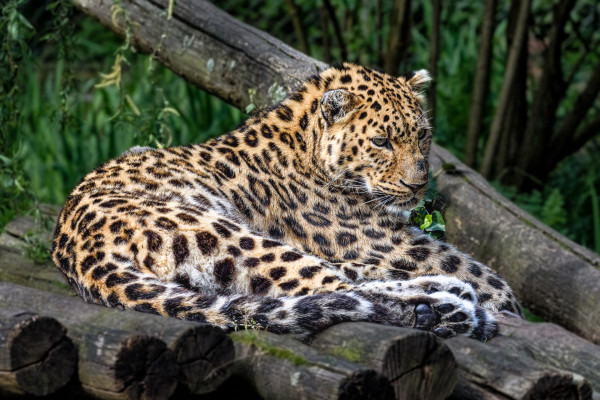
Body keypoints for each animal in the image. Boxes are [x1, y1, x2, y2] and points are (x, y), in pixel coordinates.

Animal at [51, 64, 520, 342]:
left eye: (422, 135)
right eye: (381, 142)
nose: (418, 186)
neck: (307, 146)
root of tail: (80, 254)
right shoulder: (393, 241)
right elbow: (482, 273)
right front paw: (498, 301)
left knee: (339, 281)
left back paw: (444, 295)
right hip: (222, 231)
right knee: (334, 289)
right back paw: (450, 306)